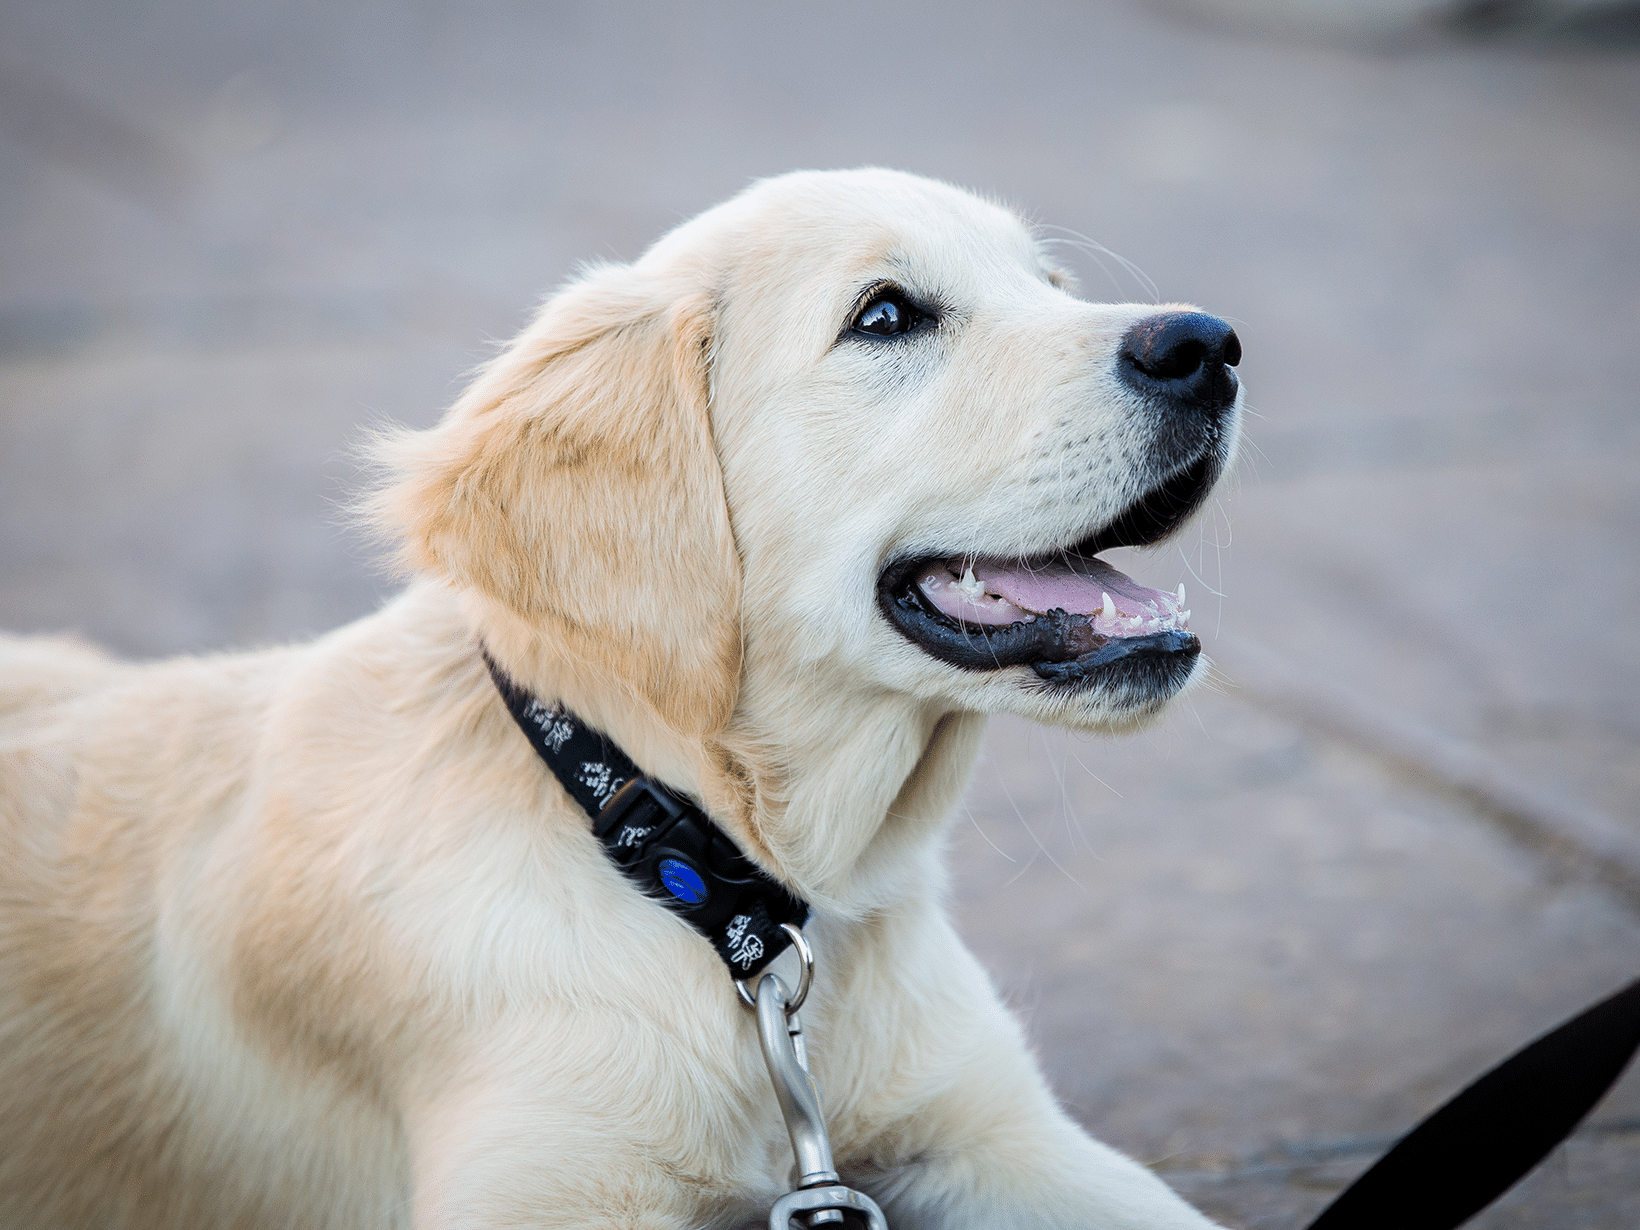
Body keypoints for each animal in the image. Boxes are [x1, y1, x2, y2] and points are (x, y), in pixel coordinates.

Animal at [0, 166, 1233, 1230]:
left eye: (1051, 283)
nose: (1208, 347)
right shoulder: (545, 1189)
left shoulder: (1000, 1134)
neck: (696, 874)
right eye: (885, 316)